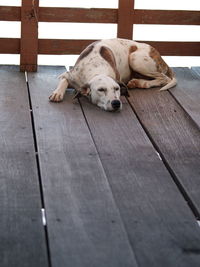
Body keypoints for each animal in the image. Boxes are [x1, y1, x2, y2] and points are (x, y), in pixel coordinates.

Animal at [48, 37, 177, 111]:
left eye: (117, 88)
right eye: (100, 90)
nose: (116, 103)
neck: (96, 68)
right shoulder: (70, 75)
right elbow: (64, 80)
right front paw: (57, 93)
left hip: (135, 58)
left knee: (164, 78)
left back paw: (140, 83)